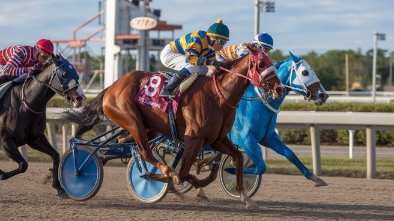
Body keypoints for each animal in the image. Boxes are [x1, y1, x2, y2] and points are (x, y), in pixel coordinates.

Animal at [0, 54, 85, 198]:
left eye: (76, 73)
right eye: (65, 73)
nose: (81, 97)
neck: (26, 103)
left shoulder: (35, 139)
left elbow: (55, 155)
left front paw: (59, 187)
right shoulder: (5, 140)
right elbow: (23, 165)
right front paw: (2, 174)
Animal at [63, 47, 284, 209]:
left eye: (272, 63)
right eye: (262, 64)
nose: (280, 89)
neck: (218, 95)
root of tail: (111, 87)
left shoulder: (217, 140)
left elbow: (236, 158)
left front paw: (246, 196)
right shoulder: (194, 139)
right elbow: (185, 173)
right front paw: (175, 181)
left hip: (148, 126)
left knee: (131, 146)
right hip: (132, 120)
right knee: (143, 152)